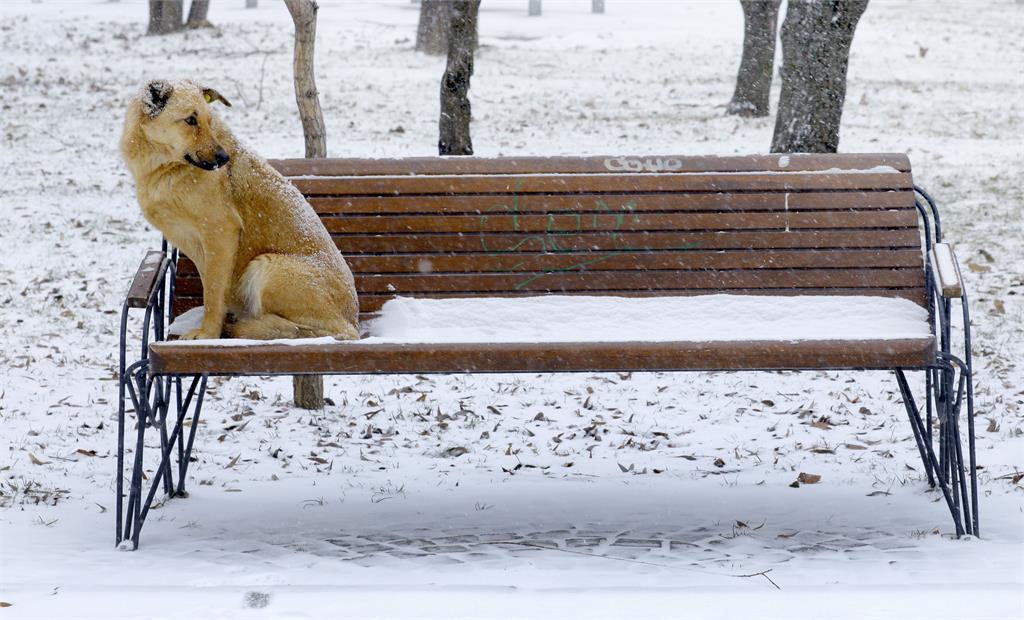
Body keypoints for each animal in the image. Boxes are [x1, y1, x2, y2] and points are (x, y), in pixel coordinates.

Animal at [119, 79, 358, 340]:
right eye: (190, 120)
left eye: (209, 120)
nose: (224, 158)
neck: (166, 167)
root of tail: (353, 325)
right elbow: (211, 287)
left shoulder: (221, 233)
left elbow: (213, 292)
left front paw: (208, 334)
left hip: (267, 267)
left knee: (301, 330)